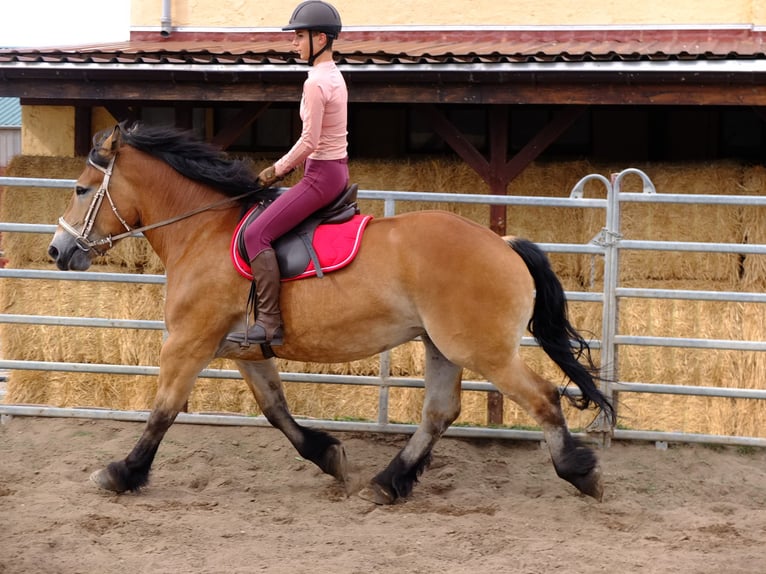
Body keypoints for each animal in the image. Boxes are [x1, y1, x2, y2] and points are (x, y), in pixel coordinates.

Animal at [48, 124, 616, 506]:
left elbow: (163, 411)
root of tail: (503, 243)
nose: (57, 251)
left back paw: (580, 472)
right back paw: (388, 483)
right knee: (439, 412)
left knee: (543, 397)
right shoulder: (246, 349)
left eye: (80, 189)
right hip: (442, 346)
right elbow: (275, 409)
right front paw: (327, 456)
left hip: (482, 350)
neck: (204, 231)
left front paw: (121, 472)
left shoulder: (188, 342)